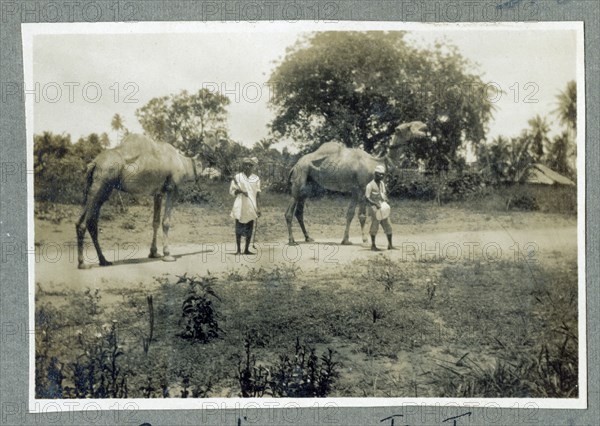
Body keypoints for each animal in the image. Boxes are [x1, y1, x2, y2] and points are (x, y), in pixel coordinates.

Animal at [74, 133, 206, 270]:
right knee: (87, 223)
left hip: (98, 189)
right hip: (102, 185)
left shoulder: (158, 193)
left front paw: (154, 253)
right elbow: (166, 222)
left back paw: (97, 261)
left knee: (85, 222)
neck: (183, 163)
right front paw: (167, 255)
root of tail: (94, 163)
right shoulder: (172, 188)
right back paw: (89, 262)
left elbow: (155, 222)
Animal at [284, 121, 426, 245]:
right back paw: (291, 240)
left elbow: (350, 214)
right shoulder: (362, 188)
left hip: (308, 185)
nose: (424, 126)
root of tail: (294, 166)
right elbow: (362, 215)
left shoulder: (354, 190)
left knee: (299, 212)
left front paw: (345, 240)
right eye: (409, 126)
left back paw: (308, 238)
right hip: (300, 177)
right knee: (289, 212)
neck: (377, 162)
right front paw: (364, 239)